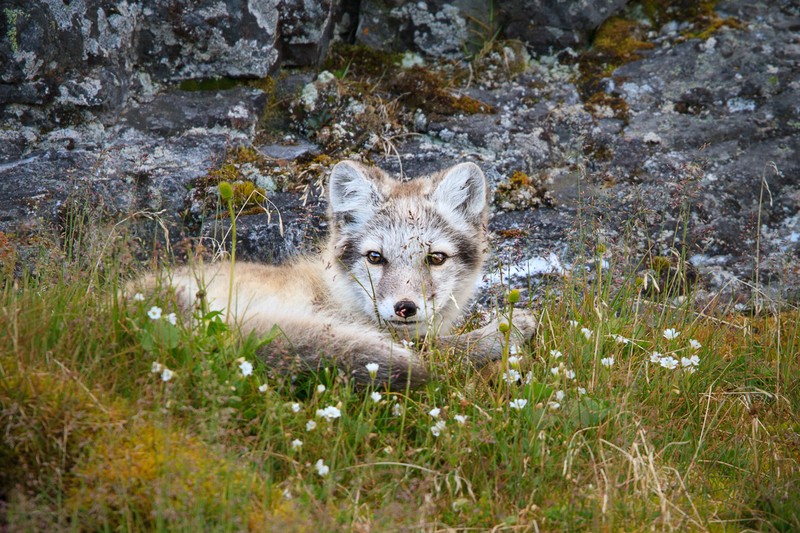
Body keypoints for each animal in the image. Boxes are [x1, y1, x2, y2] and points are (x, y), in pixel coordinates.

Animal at [141, 160, 536, 388]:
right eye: (375, 257)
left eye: (435, 258)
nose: (405, 308)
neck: (338, 292)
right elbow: (443, 347)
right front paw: (509, 327)